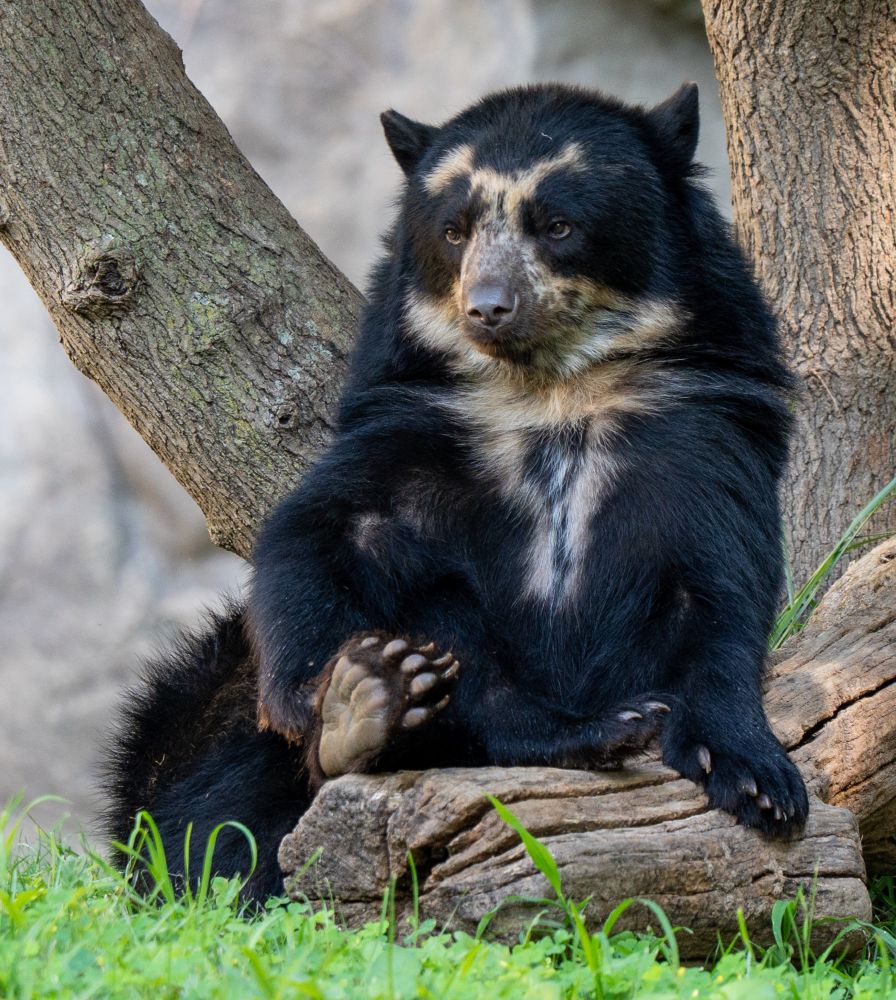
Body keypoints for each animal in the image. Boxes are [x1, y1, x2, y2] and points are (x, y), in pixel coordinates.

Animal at [102, 82, 809, 902]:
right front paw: (317, 699)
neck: (549, 390)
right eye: (454, 231)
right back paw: (383, 702)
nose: (488, 307)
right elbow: (327, 529)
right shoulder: (415, 415)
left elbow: (718, 582)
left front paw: (760, 782)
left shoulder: (701, 422)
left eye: (558, 226)